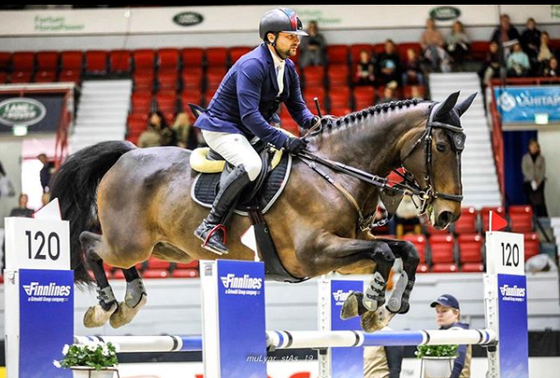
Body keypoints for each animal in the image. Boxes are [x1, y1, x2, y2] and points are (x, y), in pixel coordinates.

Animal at [50, 90, 474, 332]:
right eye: (440, 147)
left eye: (463, 146)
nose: (447, 215)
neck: (337, 170)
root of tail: (127, 154)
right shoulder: (314, 253)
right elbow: (385, 252)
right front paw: (370, 302)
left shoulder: (349, 248)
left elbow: (405, 251)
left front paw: (386, 307)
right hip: (129, 242)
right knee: (90, 243)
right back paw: (108, 305)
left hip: (164, 248)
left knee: (115, 257)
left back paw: (131, 300)